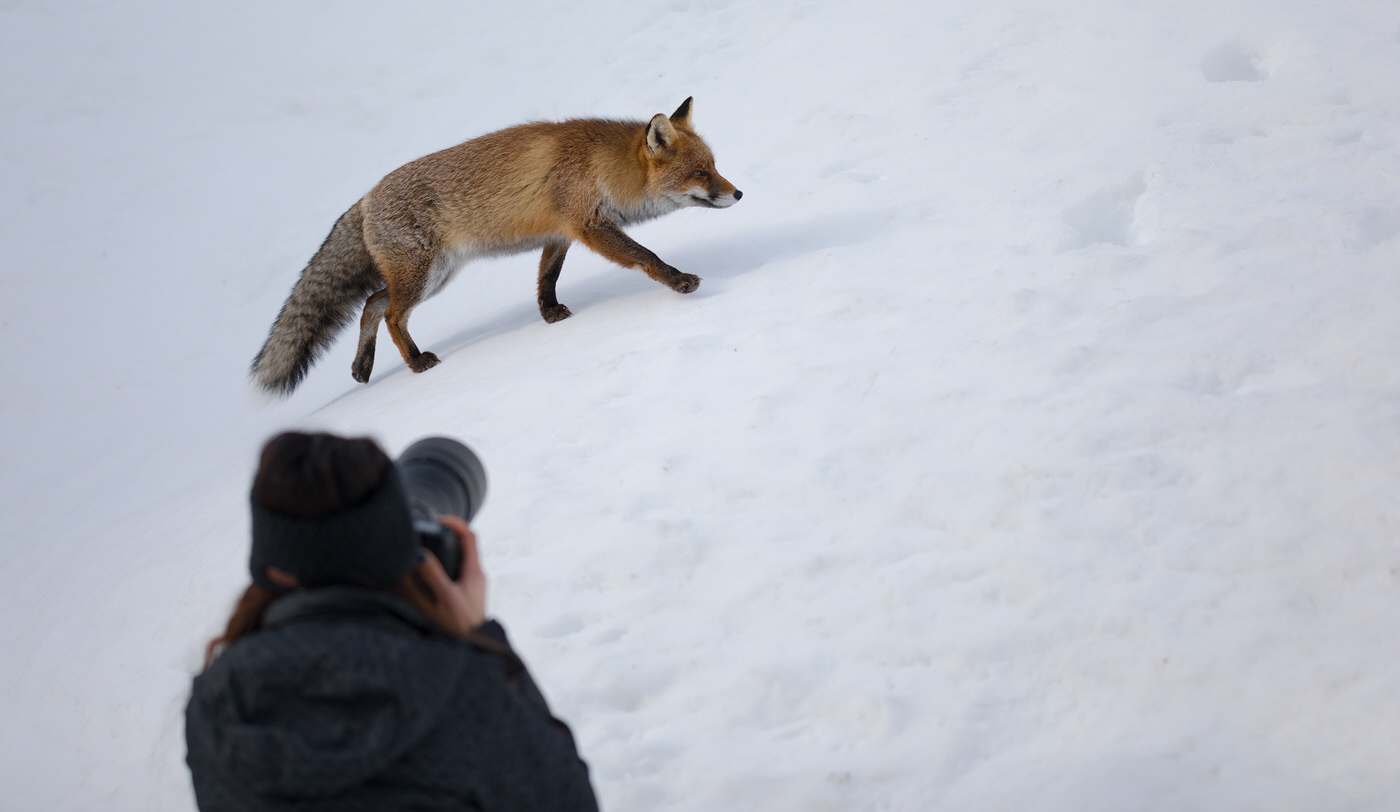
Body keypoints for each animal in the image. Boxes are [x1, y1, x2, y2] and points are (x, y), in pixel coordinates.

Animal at [249, 98, 744, 397]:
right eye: (700, 173)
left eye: (715, 165)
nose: (738, 194)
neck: (602, 165)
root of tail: (366, 198)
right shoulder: (589, 226)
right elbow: (646, 257)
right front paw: (679, 281)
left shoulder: (560, 233)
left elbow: (546, 279)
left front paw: (550, 315)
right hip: (425, 276)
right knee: (389, 314)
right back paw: (416, 363)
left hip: (431, 276)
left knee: (372, 302)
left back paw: (362, 366)